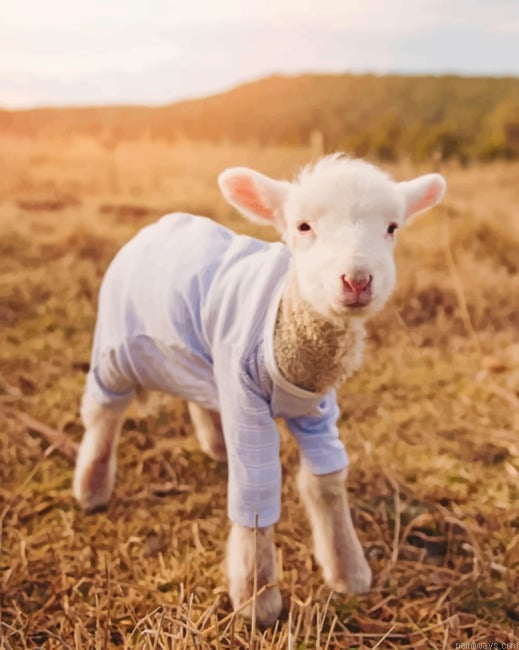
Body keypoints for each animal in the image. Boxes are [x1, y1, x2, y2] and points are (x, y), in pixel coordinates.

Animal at [73, 154, 446, 626]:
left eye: (392, 227)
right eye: (303, 226)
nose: (358, 280)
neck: (290, 322)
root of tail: (157, 226)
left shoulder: (318, 408)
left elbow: (327, 483)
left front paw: (348, 571)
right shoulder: (246, 403)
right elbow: (256, 494)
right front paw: (258, 598)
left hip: (199, 357)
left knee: (197, 393)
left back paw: (214, 445)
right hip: (115, 349)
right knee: (103, 413)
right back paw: (91, 487)